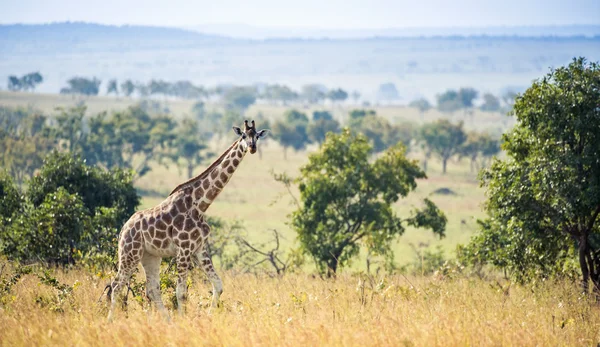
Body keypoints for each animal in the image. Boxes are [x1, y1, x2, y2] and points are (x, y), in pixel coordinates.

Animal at [107, 121, 268, 322]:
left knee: (151, 289)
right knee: (116, 286)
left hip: (150, 256)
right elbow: (181, 292)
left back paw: (167, 321)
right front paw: (183, 321)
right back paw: (110, 321)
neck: (200, 205)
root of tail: (123, 229)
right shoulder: (183, 249)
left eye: (257, 136)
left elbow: (218, 285)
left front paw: (208, 315)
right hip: (130, 253)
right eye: (244, 136)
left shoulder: (199, 249)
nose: (252, 148)